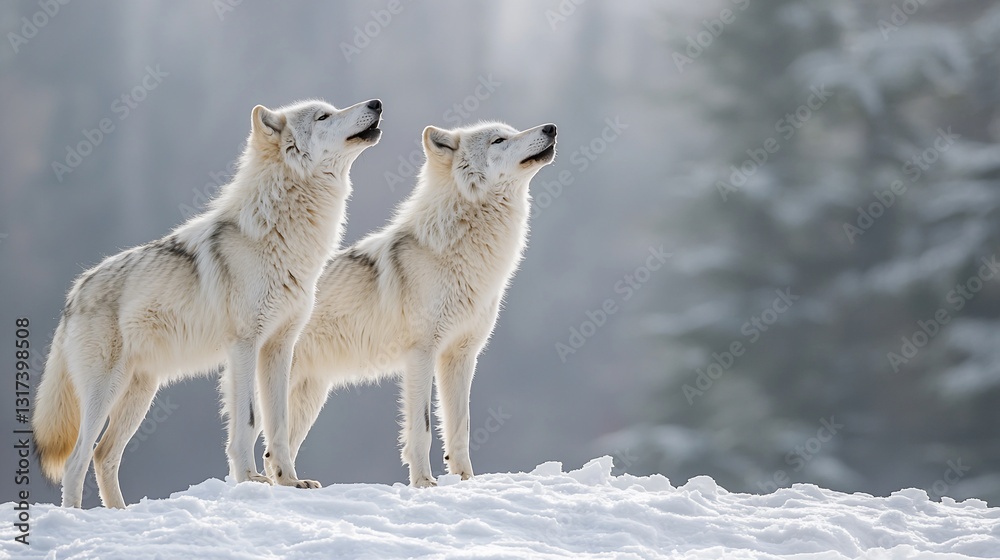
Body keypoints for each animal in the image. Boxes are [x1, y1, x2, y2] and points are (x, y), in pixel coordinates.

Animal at [33, 98, 383, 508]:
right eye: (323, 116)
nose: (376, 103)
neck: (284, 237)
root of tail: (75, 292)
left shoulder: (280, 347)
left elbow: (279, 423)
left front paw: (289, 482)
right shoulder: (244, 346)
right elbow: (249, 419)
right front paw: (250, 479)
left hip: (140, 392)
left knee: (104, 455)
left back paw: (118, 513)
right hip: (106, 390)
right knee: (77, 459)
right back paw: (77, 515)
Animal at [267, 121, 557, 487]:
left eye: (512, 130)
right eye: (499, 140)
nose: (551, 128)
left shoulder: (461, 356)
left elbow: (460, 427)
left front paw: (466, 481)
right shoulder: (421, 354)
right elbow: (422, 427)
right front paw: (424, 482)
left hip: (311, 395)